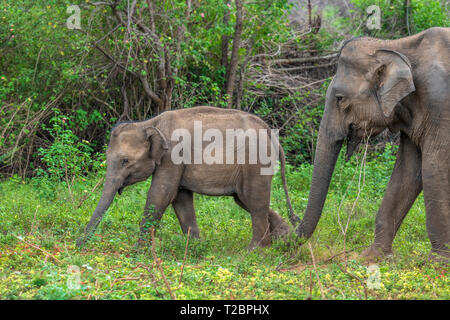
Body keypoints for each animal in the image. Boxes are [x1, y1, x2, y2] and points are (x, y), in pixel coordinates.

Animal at [76, 106, 298, 249]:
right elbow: (180, 198)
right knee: (245, 199)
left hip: (255, 162)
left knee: (254, 200)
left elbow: (161, 194)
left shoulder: (172, 156)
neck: (150, 123)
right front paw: (196, 246)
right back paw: (284, 238)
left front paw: (138, 251)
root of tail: (271, 133)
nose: (78, 245)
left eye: (124, 161)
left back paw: (256, 249)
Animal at [298, 27, 448, 262]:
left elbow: (434, 168)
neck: (395, 45)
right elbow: (407, 172)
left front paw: (437, 262)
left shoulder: (440, 103)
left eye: (340, 98)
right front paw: (370, 257)